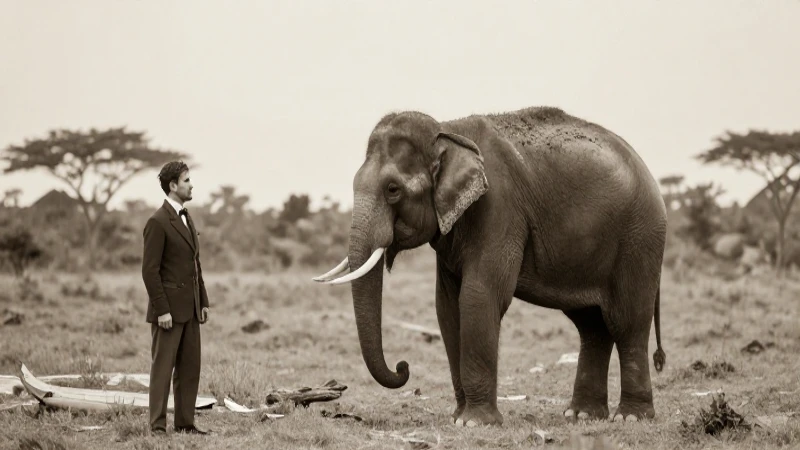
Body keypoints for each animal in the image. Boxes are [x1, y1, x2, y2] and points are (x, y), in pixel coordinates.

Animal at [314, 106, 667, 427]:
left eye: (392, 189)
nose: (403, 367)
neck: (448, 130)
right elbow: (447, 306)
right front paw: (458, 418)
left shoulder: (499, 209)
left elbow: (479, 296)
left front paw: (474, 423)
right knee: (592, 326)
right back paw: (581, 416)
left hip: (640, 239)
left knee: (627, 322)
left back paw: (631, 418)